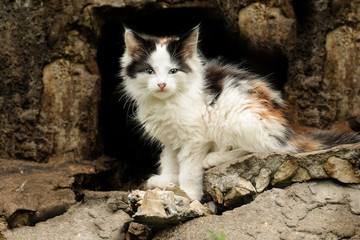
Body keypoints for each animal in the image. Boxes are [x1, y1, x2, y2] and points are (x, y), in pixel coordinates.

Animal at [121, 26, 360, 201]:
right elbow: (170, 160)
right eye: (150, 71)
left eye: (173, 71)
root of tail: (287, 129)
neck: (166, 102)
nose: (161, 84)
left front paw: (189, 194)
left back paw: (212, 158)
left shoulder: (194, 139)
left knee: (264, 149)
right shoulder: (171, 138)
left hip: (239, 118)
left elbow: (187, 168)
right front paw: (167, 181)